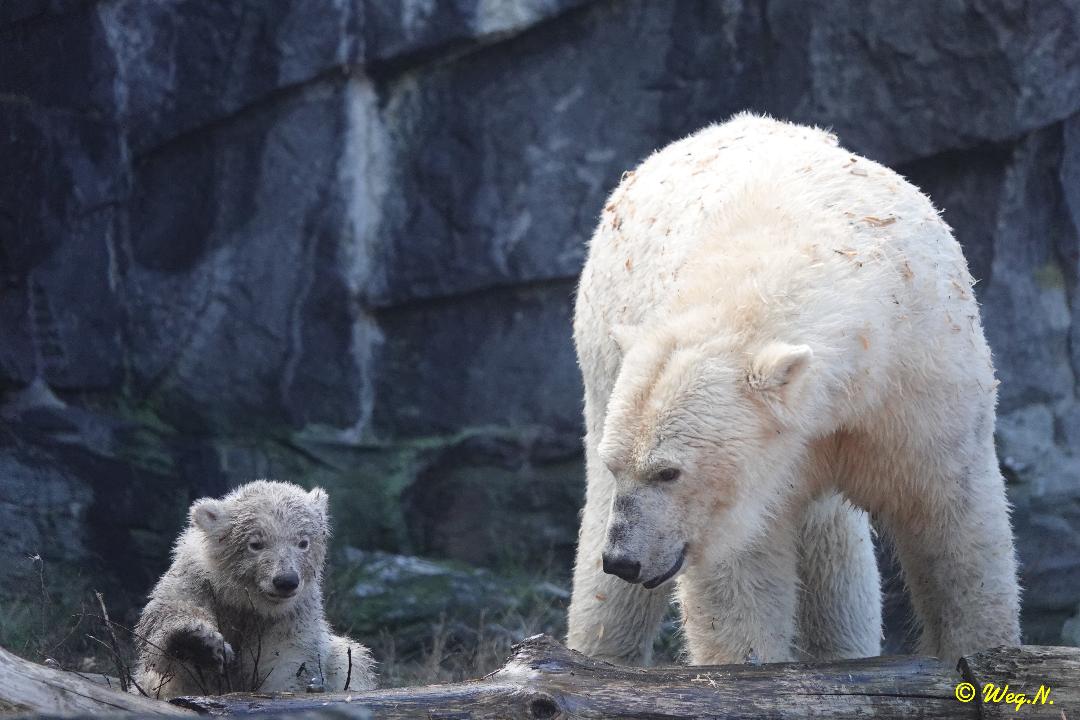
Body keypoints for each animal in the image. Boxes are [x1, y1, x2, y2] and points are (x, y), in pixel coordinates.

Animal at [565, 113, 1019, 664]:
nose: (624, 559)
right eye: (622, 466)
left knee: (836, 554)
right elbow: (742, 574)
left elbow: (956, 527)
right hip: (603, 366)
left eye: (669, 472)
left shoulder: (918, 383)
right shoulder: (745, 488)